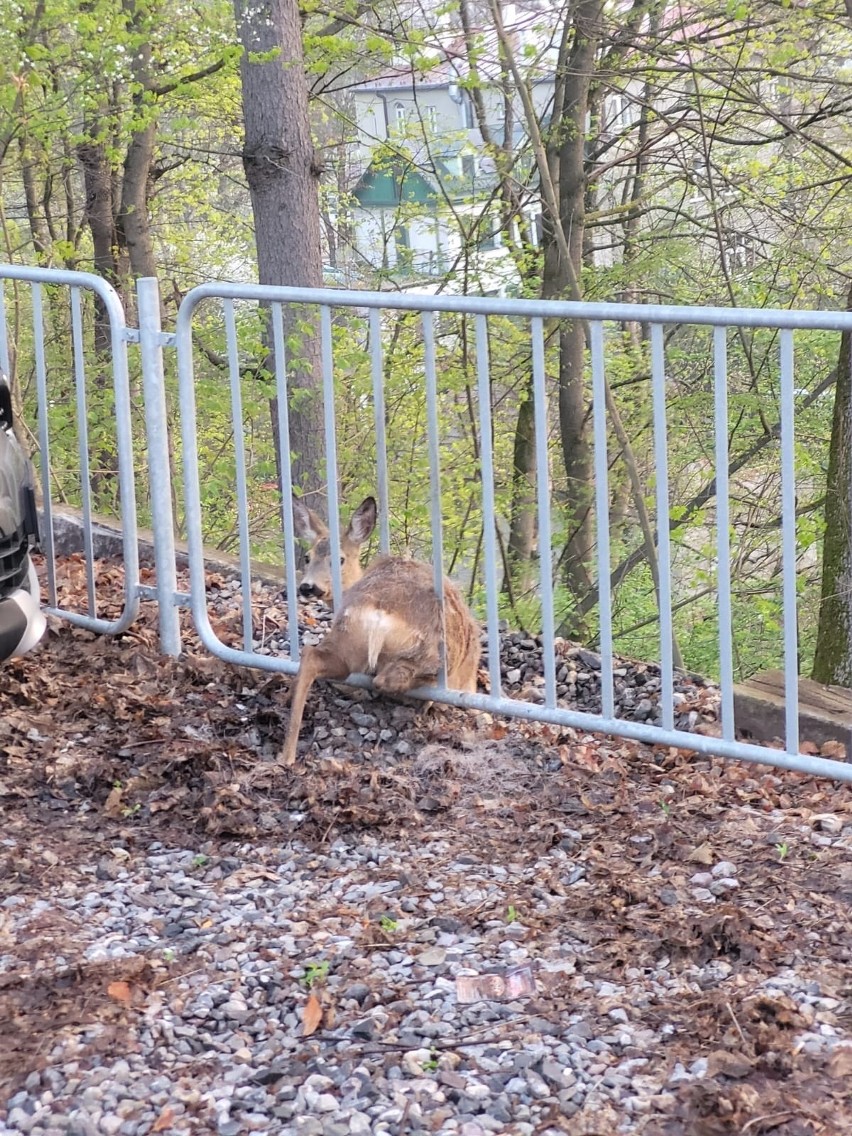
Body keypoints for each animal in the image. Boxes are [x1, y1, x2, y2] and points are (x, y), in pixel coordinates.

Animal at [280, 495, 481, 767]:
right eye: (309, 557)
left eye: (340, 559)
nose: (308, 587)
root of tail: (378, 608)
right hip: (421, 654)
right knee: (388, 679)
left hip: (347, 641)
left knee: (311, 656)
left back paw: (285, 751)